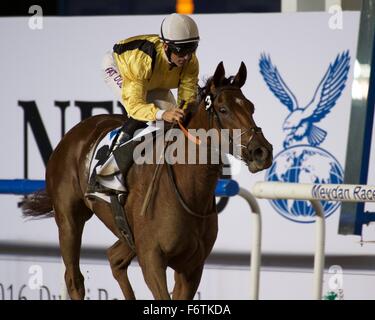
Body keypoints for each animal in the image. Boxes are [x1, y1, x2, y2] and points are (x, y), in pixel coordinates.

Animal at [21, 61, 274, 298]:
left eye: (251, 107)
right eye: (223, 109)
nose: (262, 151)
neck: (188, 190)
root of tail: (74, 133)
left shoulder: (192, 266)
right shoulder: (152, 259)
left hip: (127, 235)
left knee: (114, 258)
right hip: (69, 219)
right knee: (74, 278)